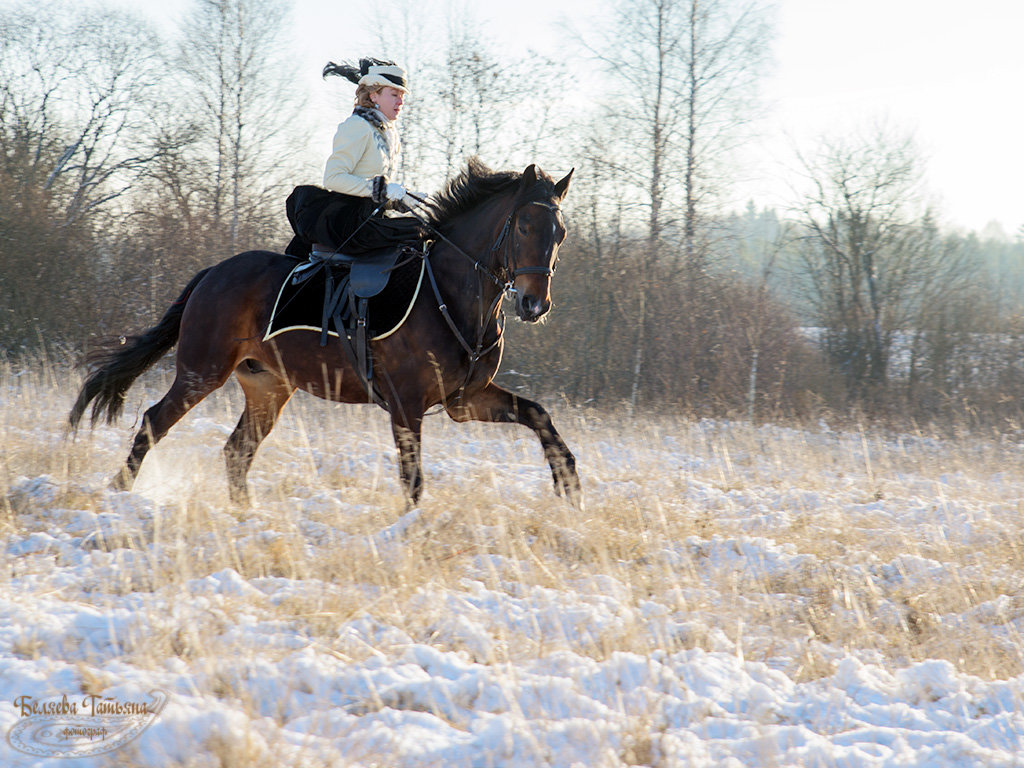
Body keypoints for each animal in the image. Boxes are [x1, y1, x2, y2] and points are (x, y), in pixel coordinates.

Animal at [70, 159, 585, 507]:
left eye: (560, 232)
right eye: (524, 225)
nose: (534, 305)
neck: (454, 296)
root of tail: (214, 272)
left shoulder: (464, 400)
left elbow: (539, 415)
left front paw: (569, 484)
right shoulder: (407, 404)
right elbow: (413, 480)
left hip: (268, 387)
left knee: (236, 452)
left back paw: (247, 518)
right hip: (202, 372)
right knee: (153, 423)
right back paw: (117, 495)